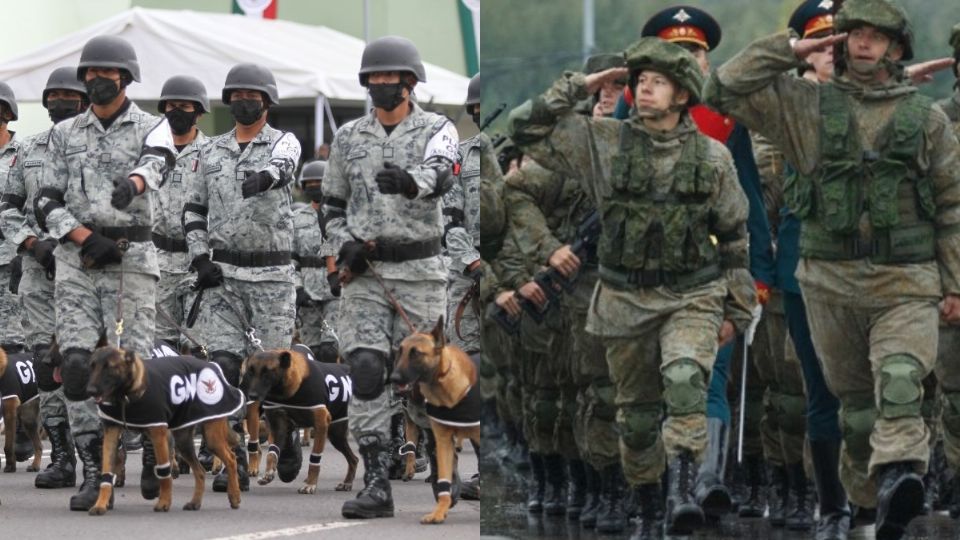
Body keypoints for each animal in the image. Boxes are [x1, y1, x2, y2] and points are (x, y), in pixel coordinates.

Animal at [84, 346, 246, 516]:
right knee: (200, 471)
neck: (126, 393)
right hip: (184, 443)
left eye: (109, 367)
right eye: (92, 366)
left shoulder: (158, 435)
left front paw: (164, 502)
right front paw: (101, 504)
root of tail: (210, 365)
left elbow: (164, 472)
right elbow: (106, 473)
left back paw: (234, 495)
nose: (90, 390)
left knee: (231, 459)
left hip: (211, 438)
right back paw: (195, 502)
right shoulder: (111, 436)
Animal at [242, 346, 358, 494]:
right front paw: (269, 472)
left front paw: (311, 484)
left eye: (267, 373)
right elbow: (272, 453)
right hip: (336, 436)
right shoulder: (278, 426)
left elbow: (315, 459)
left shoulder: (321, 424)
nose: (251, 396)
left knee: (353, 458)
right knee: (354, 459)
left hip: (335, 433)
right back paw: (347, 483)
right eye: (250, 372)